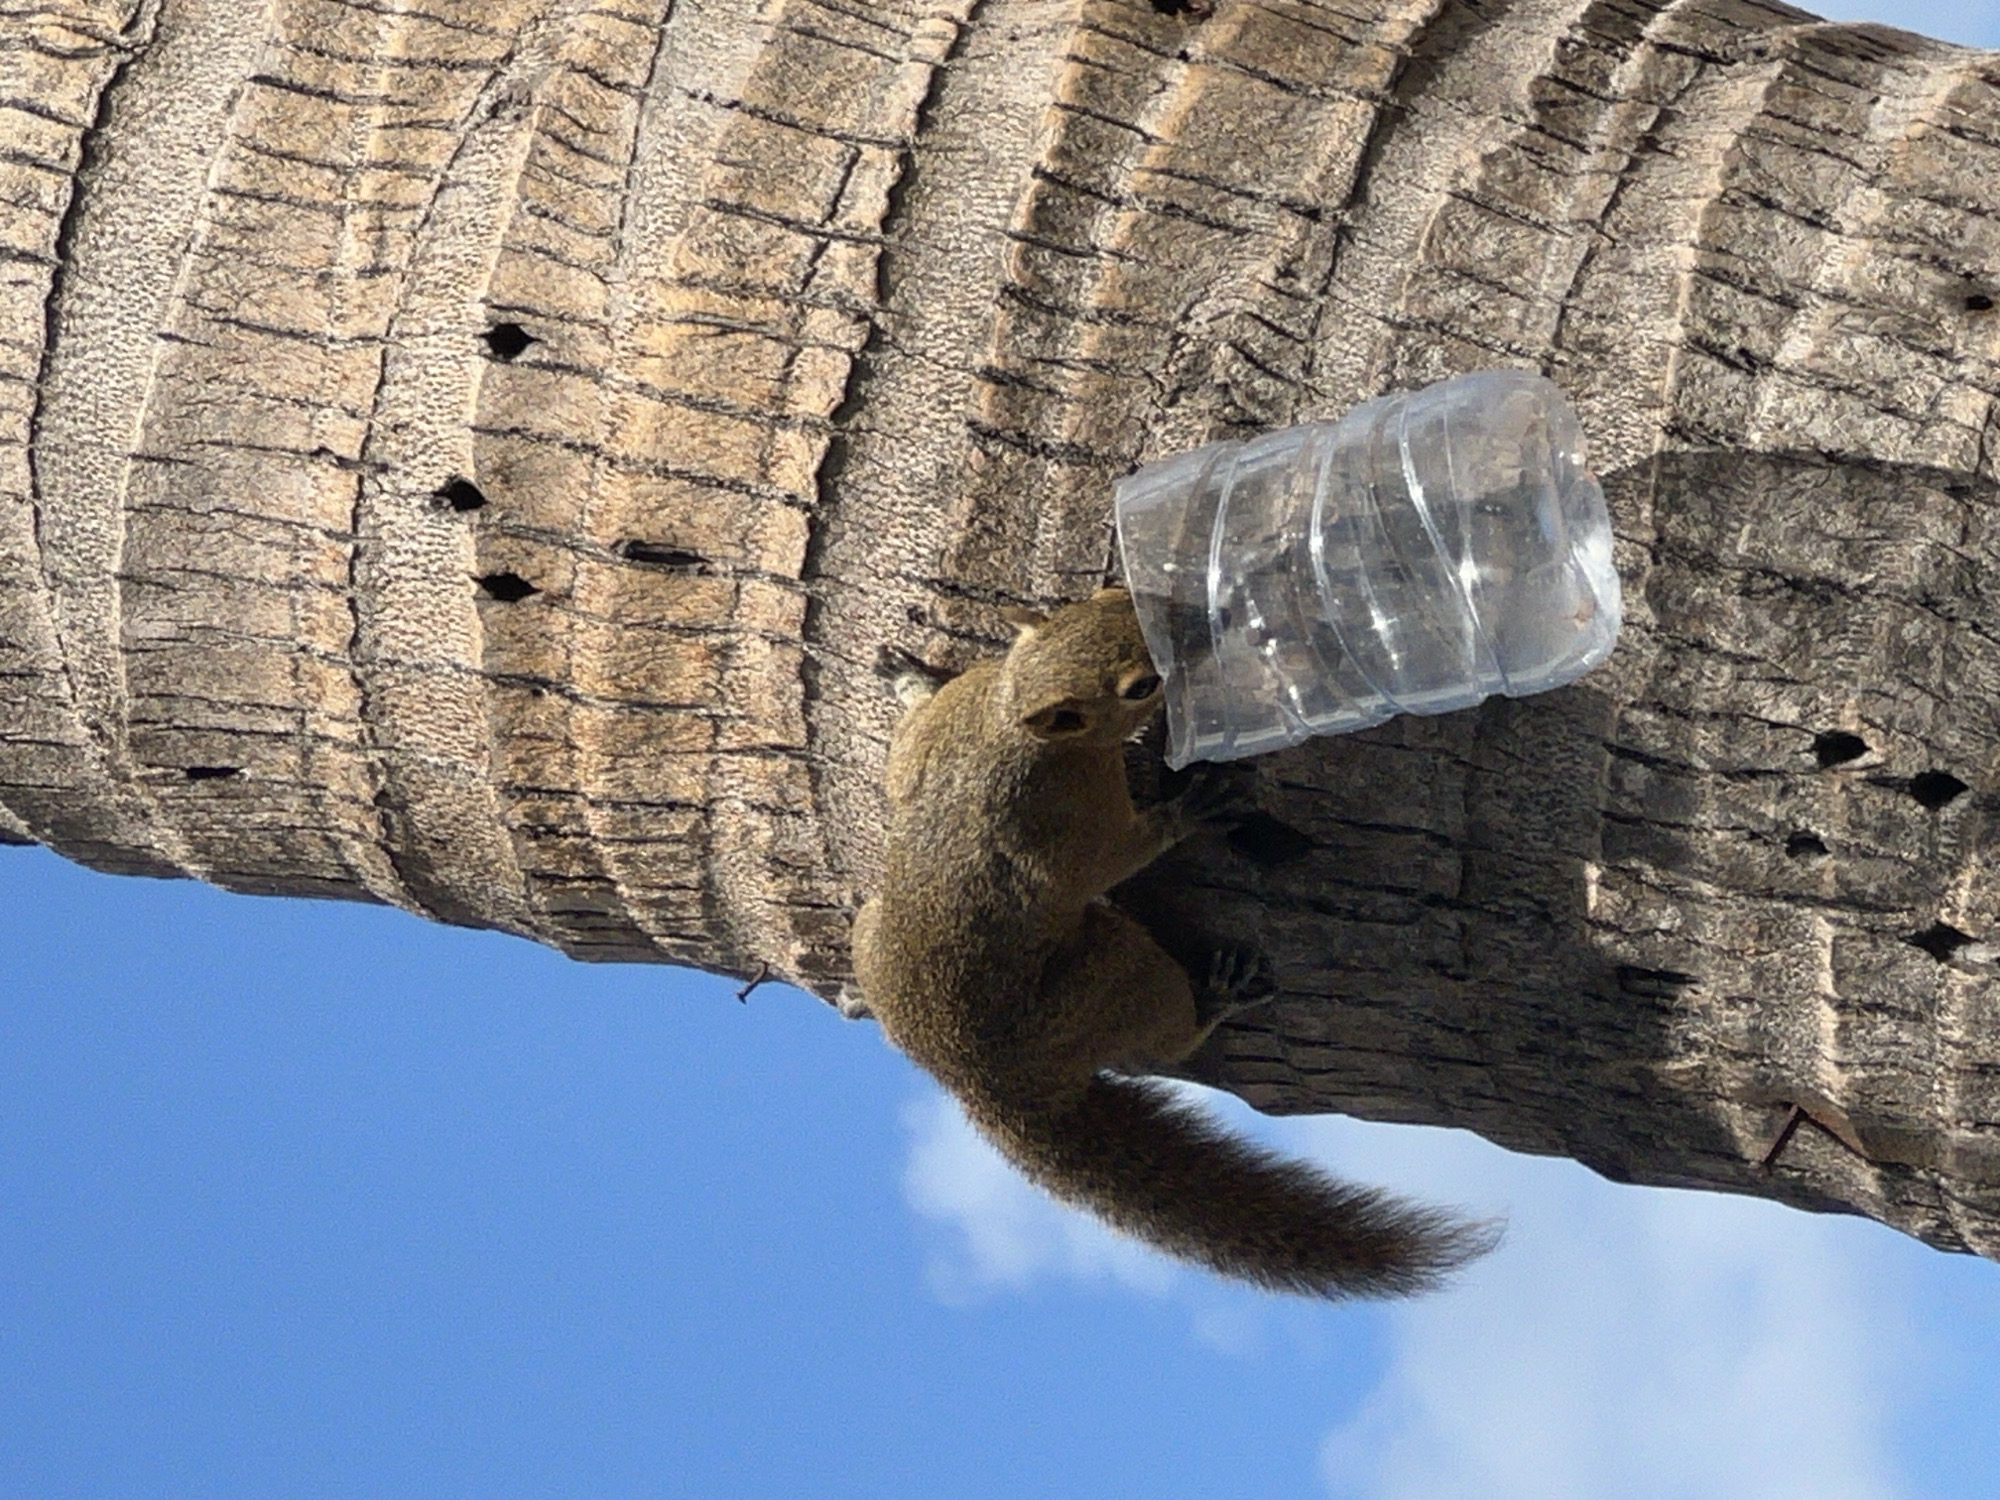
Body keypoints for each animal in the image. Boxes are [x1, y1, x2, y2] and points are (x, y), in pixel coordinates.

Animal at [851, 586, 1498, 1298]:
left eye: (1104, 597)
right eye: (1141, 687)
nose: (1187, 616)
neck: (1013, 721)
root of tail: (992, 1086)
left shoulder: (943, 727)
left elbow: (900, 760)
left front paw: (908, 677)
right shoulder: (1073, 824)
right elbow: (1111, 861)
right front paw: (1190, 810)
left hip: (869, 929)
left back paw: (855, 998)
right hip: (1113, 972)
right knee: (1162, 1030)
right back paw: (1217, 998)